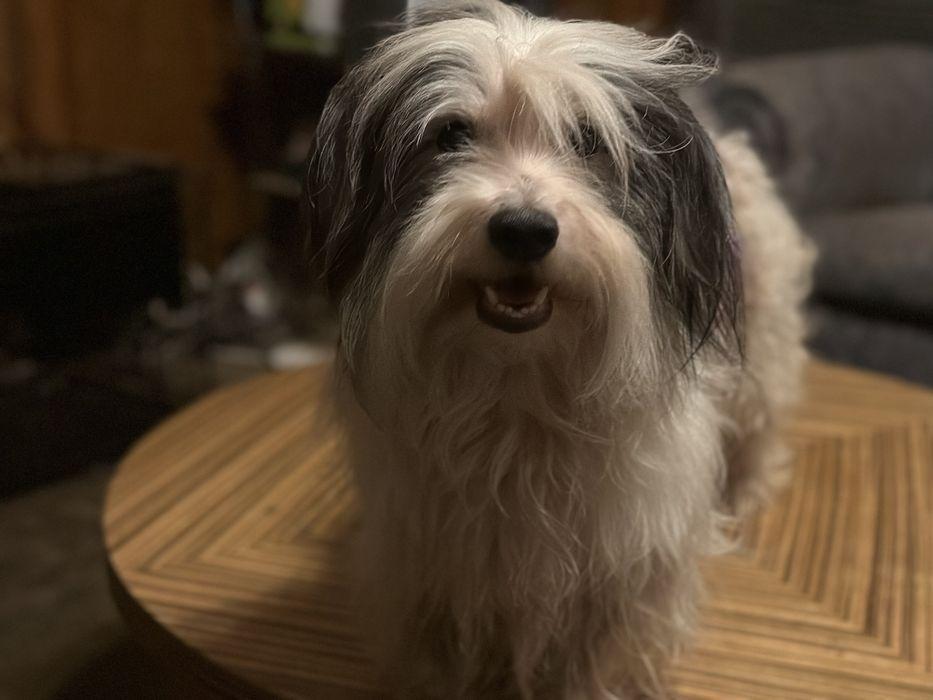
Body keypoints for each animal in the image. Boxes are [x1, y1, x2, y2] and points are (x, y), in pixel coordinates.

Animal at [305, 2, 814, 697]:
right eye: (450, 135)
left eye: (589, 141)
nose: (524, 230)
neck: (518, 383)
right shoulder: (429, 566)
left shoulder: (624, 570)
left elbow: (593, 663)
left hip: (764, 335)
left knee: (761, 421)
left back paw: (746, 490)